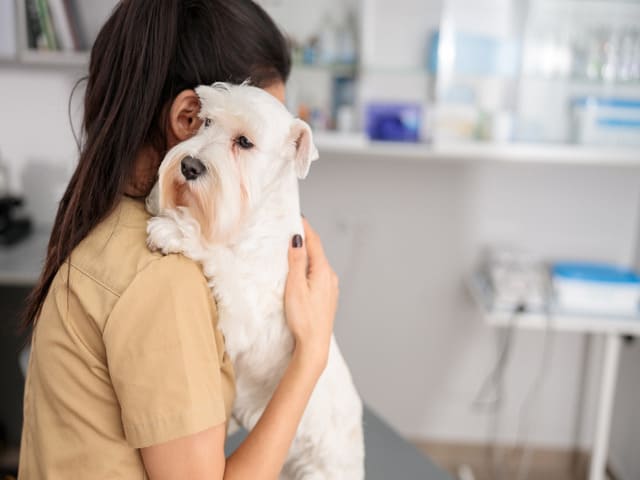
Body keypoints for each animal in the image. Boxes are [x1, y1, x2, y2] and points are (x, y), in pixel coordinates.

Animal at [146, 83, 364, 480]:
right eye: (205, 121)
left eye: (244, 142)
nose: (188, 166)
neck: (253, 221)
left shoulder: (244, 314)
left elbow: (220, 259)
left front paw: (174, 230)